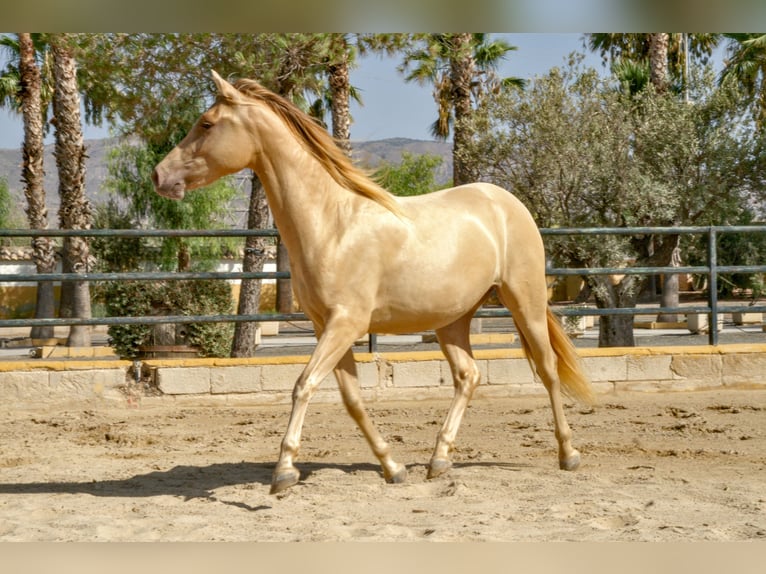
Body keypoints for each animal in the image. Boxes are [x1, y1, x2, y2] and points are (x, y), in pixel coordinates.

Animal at [152, 70, 595, 494]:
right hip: (453, 319)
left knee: (548, 369)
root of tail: (506, 202)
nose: (159, 175)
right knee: (468, 376)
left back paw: (569, 454)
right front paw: (392, 468)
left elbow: (303, 384)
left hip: (525, 300)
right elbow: (351, 399)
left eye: (206, 123)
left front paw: (284, 473)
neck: (332, 224)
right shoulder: (327, 327)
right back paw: (438, 461)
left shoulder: (346, 323)